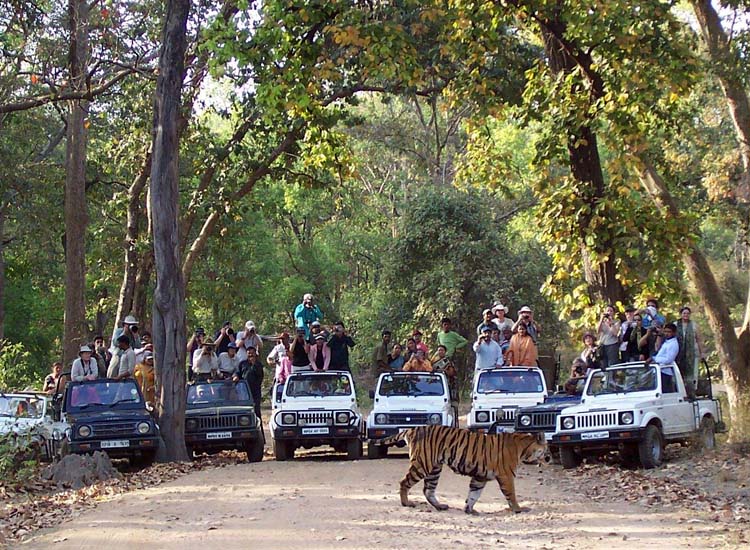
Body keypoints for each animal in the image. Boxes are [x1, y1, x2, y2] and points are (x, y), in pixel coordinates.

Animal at [382, 426, 548, 516]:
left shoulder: (480, 477)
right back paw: (406, 503)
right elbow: (511, 495)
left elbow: (473, 494)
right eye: (546, 448)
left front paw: (469, 510)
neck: (523, 448)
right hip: (423, 464)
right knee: (404, 482)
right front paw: (518, 509)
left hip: (434, 469)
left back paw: (440, 506)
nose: (549, 458)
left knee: (428, 490)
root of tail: (413, 429)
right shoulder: (506, 476)